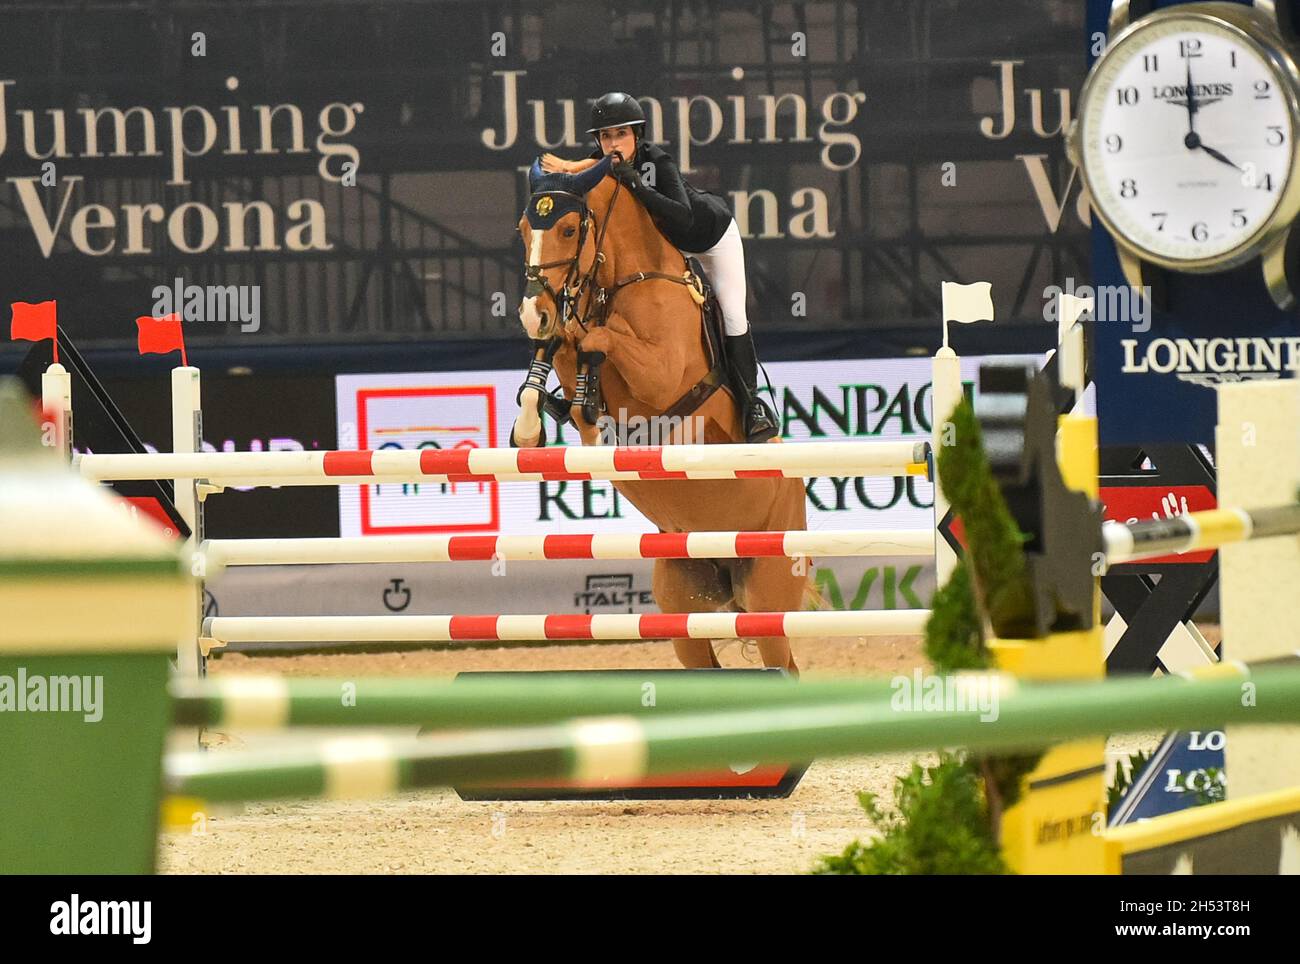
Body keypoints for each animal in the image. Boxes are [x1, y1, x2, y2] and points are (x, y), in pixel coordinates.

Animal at [509, 156, 806, 670]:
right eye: (525, 229)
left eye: (568, 229)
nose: (532, 312)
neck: (624, 280)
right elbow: (559, 347)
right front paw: (532, 428)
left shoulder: (662, 375)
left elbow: (597, 340)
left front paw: (586, 387)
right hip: (683, 602)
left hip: (768, 593)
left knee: (782, 660)